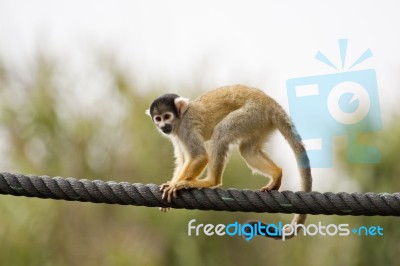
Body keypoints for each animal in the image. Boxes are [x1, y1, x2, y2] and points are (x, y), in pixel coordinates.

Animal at [145, 84, 310, 239]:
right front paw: (172, 183)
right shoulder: (176, 135)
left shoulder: (186, 128)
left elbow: (200, 156)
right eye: (158, 118)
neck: (179, 120)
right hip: (260, 122)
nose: (163, 126)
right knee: (247, 150)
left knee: (221, 133)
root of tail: (269, 102)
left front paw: (174, 185)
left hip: (252, 114)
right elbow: (183, 159)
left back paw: (211, 181)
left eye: (167, 116)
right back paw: (276, 174)